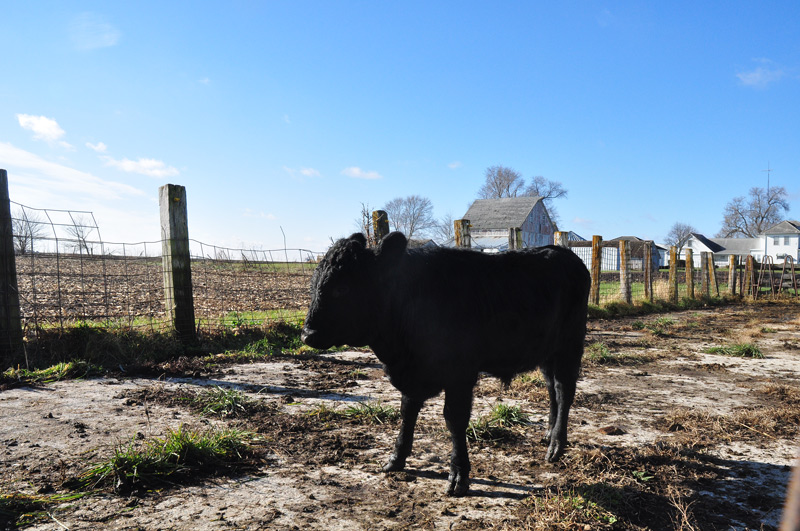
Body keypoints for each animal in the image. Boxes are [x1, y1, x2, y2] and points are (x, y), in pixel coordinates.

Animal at [301, 231, 590, 496]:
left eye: (343, 288)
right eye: (313, 284)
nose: (307, 334)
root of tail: (563, 253)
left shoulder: (460, 374)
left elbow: (454, 420)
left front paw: (459, 475)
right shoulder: (414, 373)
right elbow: (407, 413)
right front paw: (396, 459)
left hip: (570, 344)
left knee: (564, 390)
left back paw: (557, 445)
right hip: (546, 352)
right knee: (552, 388)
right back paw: (548, 433)